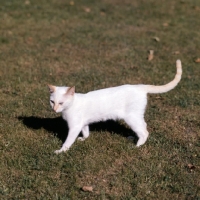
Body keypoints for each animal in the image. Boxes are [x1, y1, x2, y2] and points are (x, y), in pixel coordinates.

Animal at [48, 59, 181, 153]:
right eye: (52, 102)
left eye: (61, 103)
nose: (54, 109)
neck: (70, 106)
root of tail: (140, 86)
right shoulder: (83, 123)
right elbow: (86, 132)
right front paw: (84, 139)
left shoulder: (74, 127)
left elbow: (68, 142)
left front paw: (61, 151)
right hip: (135, 118)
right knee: (144, 126)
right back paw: (133, 138)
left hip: (131, 118)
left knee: (145, 132)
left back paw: (137, 146)